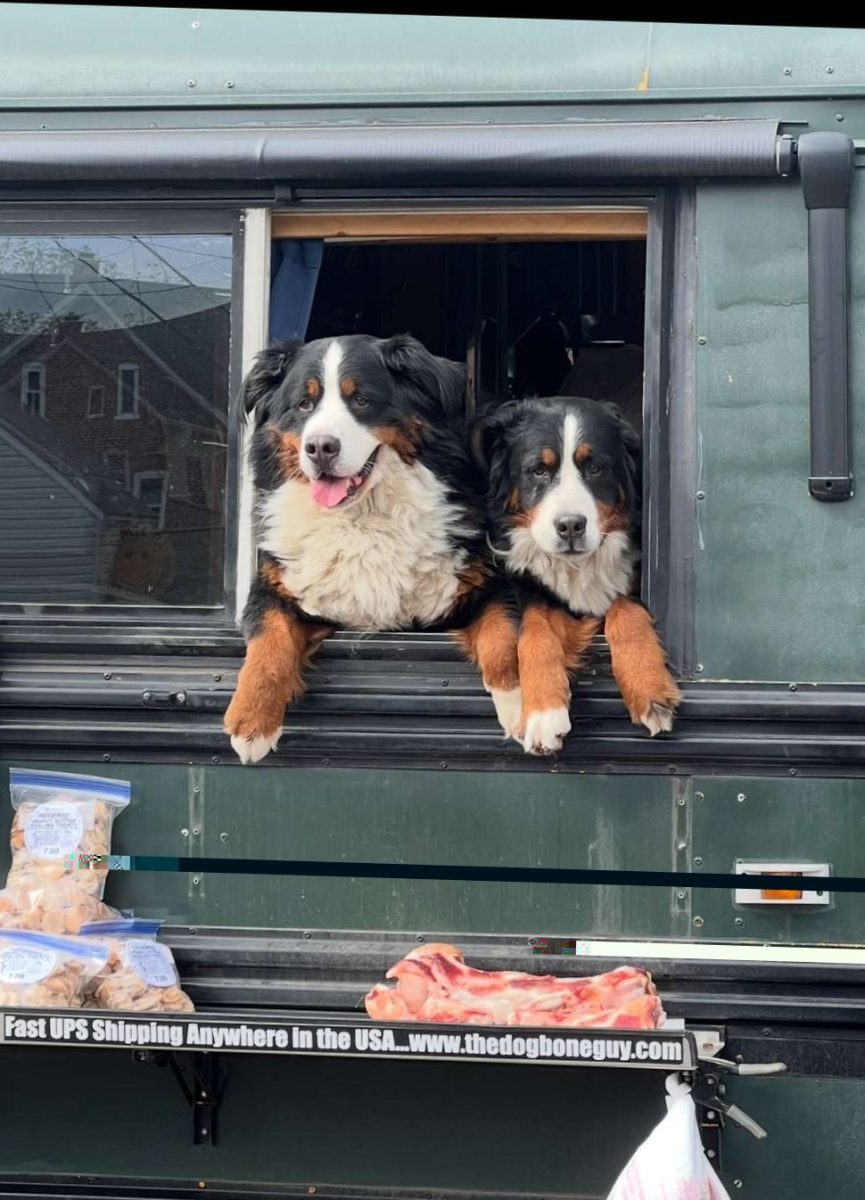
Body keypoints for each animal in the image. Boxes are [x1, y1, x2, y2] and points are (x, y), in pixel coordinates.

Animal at [225, 331, 520, 758]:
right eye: (304, 404)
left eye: (361, 400)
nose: (320, 447)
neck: (361, 519)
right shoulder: (276, 586)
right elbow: (269, 641)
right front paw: (250, 723)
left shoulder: (485, 584)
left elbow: (504, 636)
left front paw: (520, 703)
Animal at [472, 398, 681, 753]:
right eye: (538, 470)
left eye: (595, 468)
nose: (570, 526)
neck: (578, 568)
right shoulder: (531, 590)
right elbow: (534, 632)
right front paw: (544, 713)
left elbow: (624, 609)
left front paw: (649, 689)